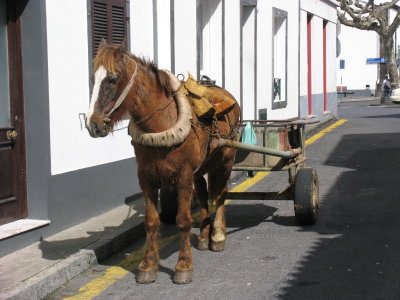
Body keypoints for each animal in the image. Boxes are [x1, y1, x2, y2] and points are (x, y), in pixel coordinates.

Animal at [85, 41, 239, 284]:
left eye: (113, 78)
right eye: (94, 78)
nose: (93, 124)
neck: (160, 122)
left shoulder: (183, 177)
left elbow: (183, 220)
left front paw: (183, 266)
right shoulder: (146, 179)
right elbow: (151, 221)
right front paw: (148, 266)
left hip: (226, 160)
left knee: (221, 194)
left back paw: (218, 236)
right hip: (201, 167)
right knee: (204, 194)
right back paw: (204, 236)